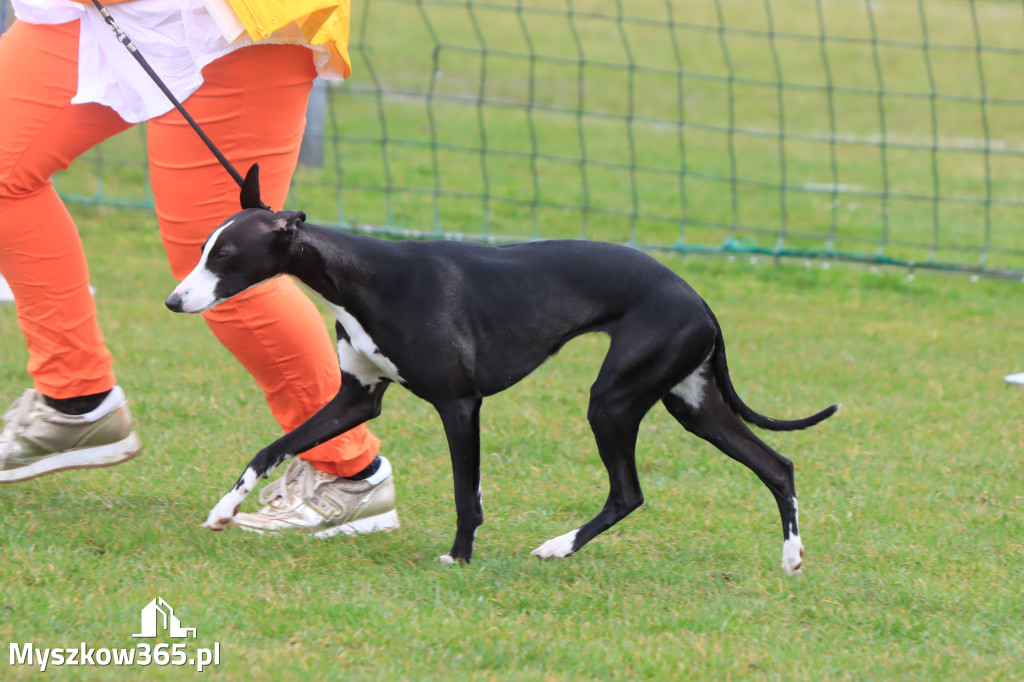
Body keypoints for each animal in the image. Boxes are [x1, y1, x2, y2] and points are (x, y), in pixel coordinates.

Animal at [165, 165, 839, 573]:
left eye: (225, 256)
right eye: (203, 248)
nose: (174, 302)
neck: (364, 278)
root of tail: (699, 299)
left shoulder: (460, 405)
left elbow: (467, 494)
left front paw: (459, 557)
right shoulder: (356, 400)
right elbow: (270, 447)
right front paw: (225, 510)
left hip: (613, 400)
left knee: (629, 491)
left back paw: (558, 547)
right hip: (692, 402)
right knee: (777, 465)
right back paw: (791, 558)